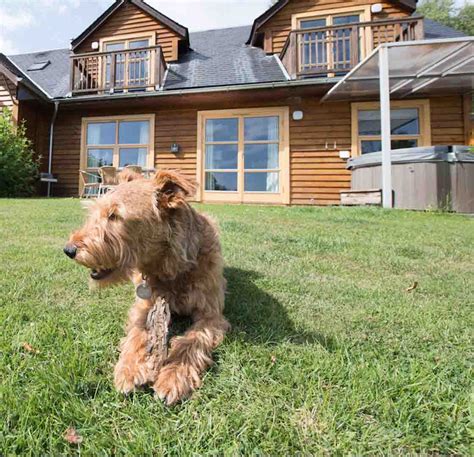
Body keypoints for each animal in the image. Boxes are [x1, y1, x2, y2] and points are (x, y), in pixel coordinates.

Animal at [64, 170, 230, 402]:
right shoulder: (143, 306)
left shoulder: (211, 315)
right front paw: (130, 369)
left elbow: (191, 341)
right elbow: (137, 334)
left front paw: (173, 376)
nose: (69, 250)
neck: (170, 269)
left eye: (114, 215)